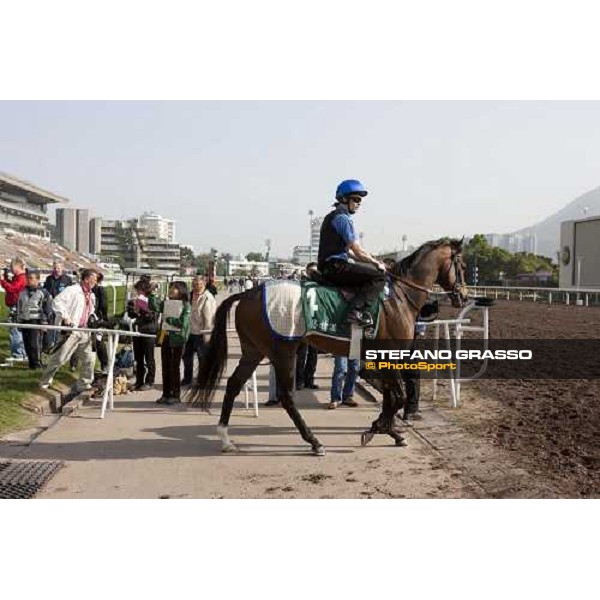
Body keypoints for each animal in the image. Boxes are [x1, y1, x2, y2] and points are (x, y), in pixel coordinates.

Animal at [192, 238, 468, 454]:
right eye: (463, 265)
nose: (463, 295)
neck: (399, 297)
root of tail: (249, 293)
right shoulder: (387, 353)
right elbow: (397, 396)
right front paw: (377, 429)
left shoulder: (381, 356)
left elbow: (391, 396)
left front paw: (390, 431)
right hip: (283, 350)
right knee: (286, 396)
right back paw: (314, 441)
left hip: (254, 350)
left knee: (233, 384)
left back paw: (226, 438)